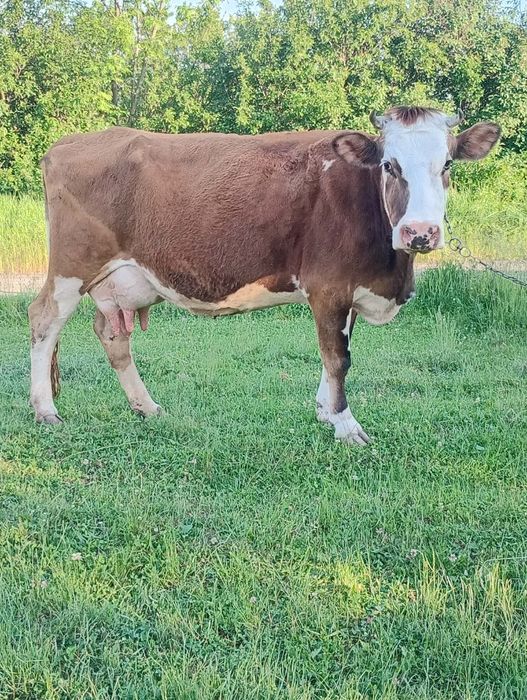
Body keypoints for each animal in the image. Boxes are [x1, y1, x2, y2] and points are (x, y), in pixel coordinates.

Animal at [29, 106, 500, 444]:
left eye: (447, 165)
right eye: (389, 165)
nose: (420, 232)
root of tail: (69, 143)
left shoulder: (347, 291)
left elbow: (336, 355)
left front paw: (324, 410)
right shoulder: (329, 286)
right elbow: (338, 358)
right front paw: (346, 425)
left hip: (120, 280)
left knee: (112, 335)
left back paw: (147, 407)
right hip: (73, 267)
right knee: (44, 320)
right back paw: (45, 410)